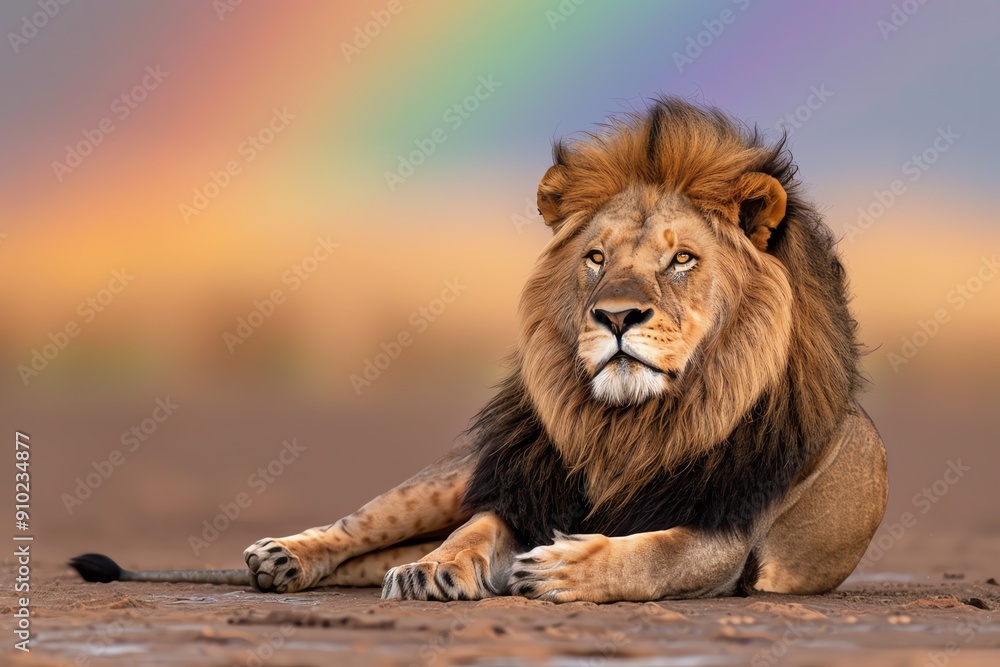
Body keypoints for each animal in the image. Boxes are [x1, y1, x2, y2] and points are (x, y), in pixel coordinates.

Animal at [73, 98, 888, 602]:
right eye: (595, 257)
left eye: (681, 259)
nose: (615, 315)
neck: (627, 424)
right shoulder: (521, 486)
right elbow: (476, 530)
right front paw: (436, 570)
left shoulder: (725, 536)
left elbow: (652, 553)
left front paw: (561, 568)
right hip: (448, 477)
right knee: (364, 530)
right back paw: (288, 555)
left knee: (366, 561)